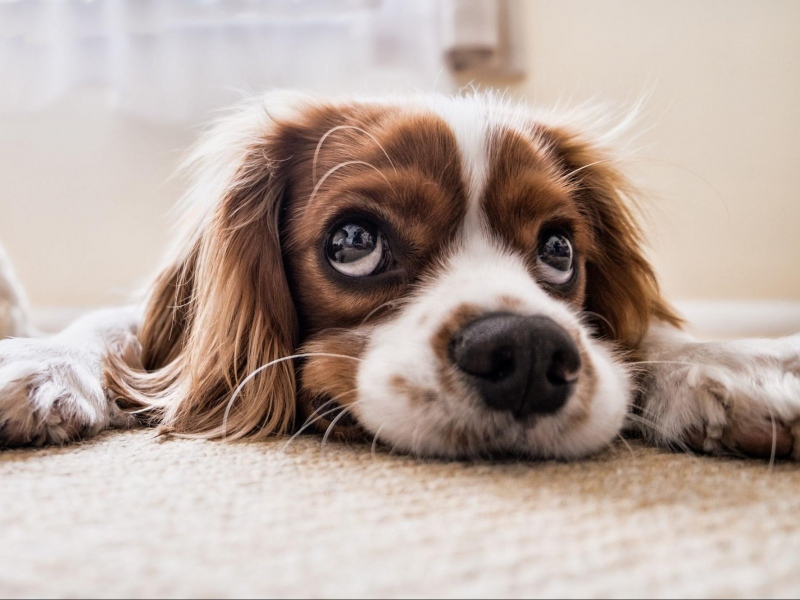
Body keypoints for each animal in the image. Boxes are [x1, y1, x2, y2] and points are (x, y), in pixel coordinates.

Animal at [1, 91, 800, 460]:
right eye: (353, 241)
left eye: (559, 250)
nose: (528, 352)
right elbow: (114, 326)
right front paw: (41, 361)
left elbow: (647, 339)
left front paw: (738, 367)